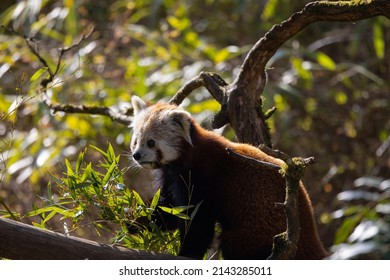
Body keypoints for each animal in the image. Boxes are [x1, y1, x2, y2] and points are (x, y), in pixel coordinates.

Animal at [129, 95, 328, 260]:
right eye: (136, 141)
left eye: (151, 142)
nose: (136, 155)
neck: (185, 158)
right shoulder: (172, 178)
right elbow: (167, 208)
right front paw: (135, 220)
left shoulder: (202, 177)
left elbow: (198, 221)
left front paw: (188, 253)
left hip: (255, 232)